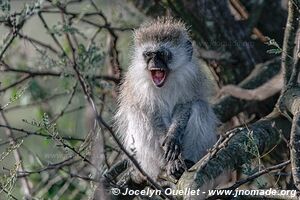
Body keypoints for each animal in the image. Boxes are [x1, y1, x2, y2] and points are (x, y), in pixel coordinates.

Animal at [115, 17, 218, 179]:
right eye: (149, 54)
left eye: (162, 54)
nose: (154, 63)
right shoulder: (140, 85)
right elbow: (152, 113)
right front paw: (168, 148)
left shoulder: (190, 76)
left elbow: (185, 104)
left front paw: (173, 136)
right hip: (149, 159)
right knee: (139, 114)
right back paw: (168, 165)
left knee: (199, 106)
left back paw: (187, 161)